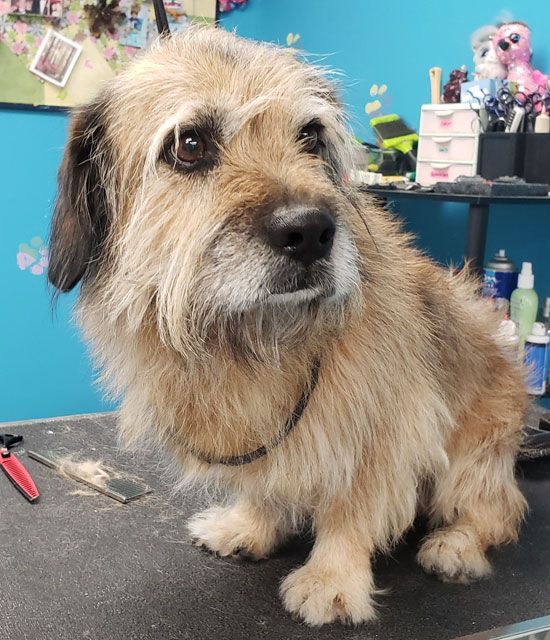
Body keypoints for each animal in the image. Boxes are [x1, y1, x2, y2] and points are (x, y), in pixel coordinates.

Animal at [48, 27, 532, 628]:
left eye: (310, 135)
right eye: (189, 145)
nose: (311, 232)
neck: (258, 336)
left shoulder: (388, 424)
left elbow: (353, 504)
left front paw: (334, 578)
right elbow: (268, 485)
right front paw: (250, 526)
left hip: (477, 454)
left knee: (498, 512)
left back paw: (457, 544)